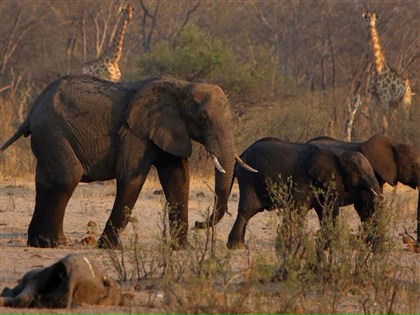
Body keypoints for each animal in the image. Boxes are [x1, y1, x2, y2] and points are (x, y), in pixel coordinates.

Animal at [0, 74, 253, 249]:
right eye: (202, 118)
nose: (200, 224)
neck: (182, 85)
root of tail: (32, 111)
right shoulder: (136, 133)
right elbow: (131, 178)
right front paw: (110, 248)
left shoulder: (168, 130)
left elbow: (178, 180)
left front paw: (180, 248)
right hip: (53, 132)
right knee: (68, 176)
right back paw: (56, 243)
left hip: (46, 137)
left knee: (44, 182)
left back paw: (36, 243)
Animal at [226, 138, 380, 249]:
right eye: (359, 173)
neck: (337, 154)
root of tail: (240, 155)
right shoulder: (304, 178)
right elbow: (299, 209)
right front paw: (289, 246)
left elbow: (326, 210)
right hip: (248, 178)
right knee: (247, 210)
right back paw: (236, 247)